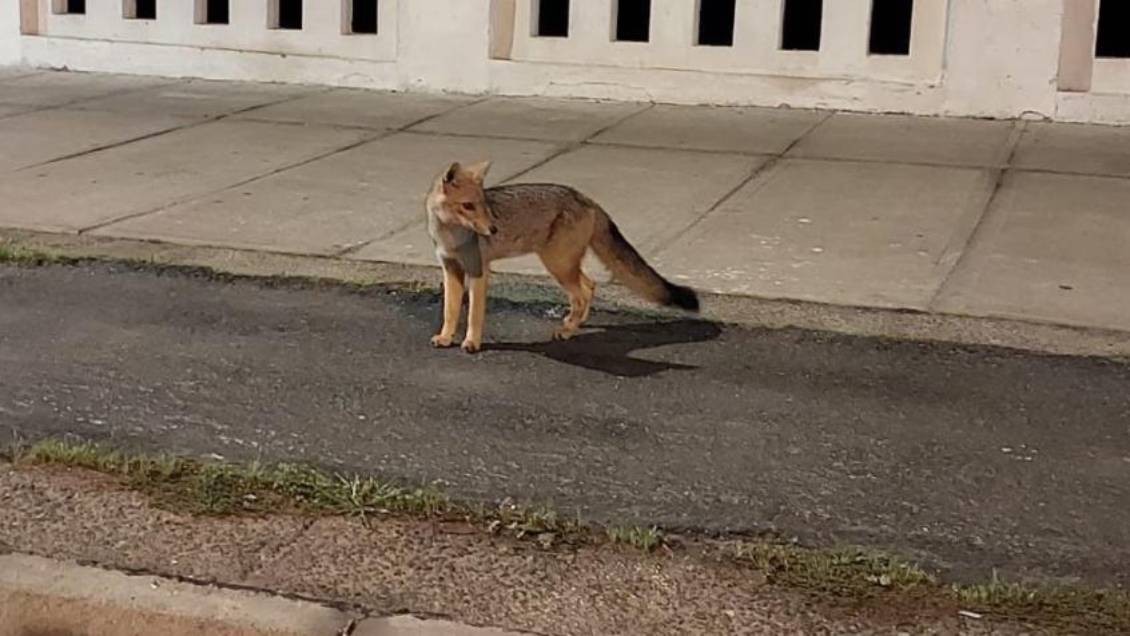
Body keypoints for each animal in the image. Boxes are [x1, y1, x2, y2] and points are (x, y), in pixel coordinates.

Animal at [425, 160, 700, 353]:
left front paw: (471, 343)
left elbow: (473, 314)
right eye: (468, 206)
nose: (493, 230)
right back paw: (575, 323)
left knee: (581, 293)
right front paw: (446, 337)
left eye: (484, 205)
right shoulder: (450, 269)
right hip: (564, 265)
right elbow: (450, 311)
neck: (451, 238)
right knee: (589, 286)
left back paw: (567, 331)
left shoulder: (478, 271)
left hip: (557, 265)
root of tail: (586, 198)